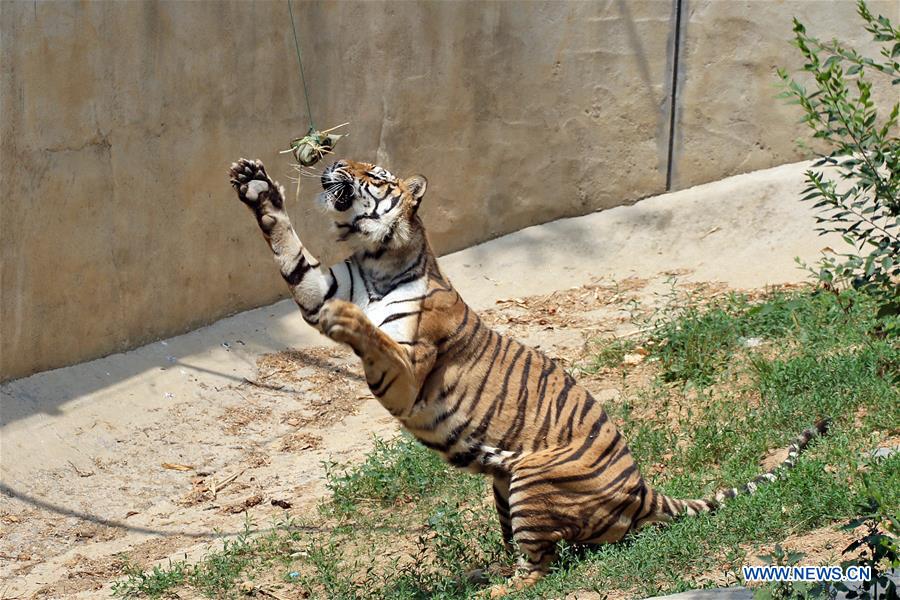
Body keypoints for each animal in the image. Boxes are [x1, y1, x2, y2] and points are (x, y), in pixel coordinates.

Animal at [227, 158, 828, 596]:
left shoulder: (407, 367)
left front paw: (347, 319)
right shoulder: (319, 285)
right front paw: (255, 185)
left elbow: (374, 336)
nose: (333, 165)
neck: (374, 258)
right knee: (537, 553)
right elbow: (290, 251)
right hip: (502, 487)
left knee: (542, 568)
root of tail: (642, 488)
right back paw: (483, 573)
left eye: (372, 172)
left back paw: (491, 589)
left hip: (532, 480)